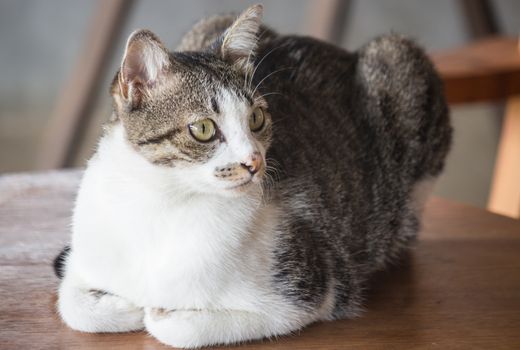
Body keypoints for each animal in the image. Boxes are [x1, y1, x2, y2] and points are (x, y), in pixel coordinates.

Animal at [53, 4, 450, 348]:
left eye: (256, 119)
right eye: (203, 129)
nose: (254, 161)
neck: (163, 202)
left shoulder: (313, 288)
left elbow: (180, 329)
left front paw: (156, 312)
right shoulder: (84, 256)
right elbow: (71, 304)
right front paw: (123, 304)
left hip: (400, 61)